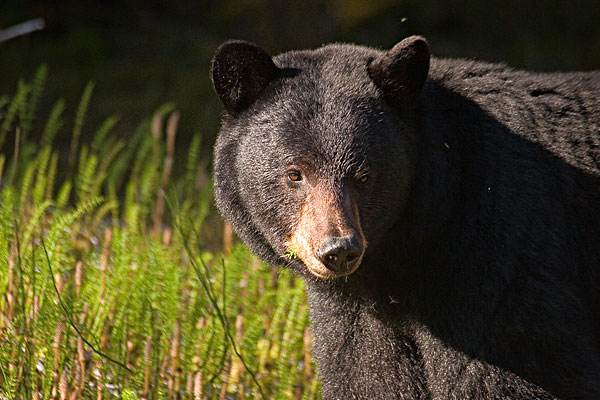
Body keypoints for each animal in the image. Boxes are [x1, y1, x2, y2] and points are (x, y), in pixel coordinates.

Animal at [211, 36, 600, 398]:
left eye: (363, 174)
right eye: (295, 174)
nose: (338, 250)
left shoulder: (501, 257)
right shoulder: (356, 315)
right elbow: (367, 375)